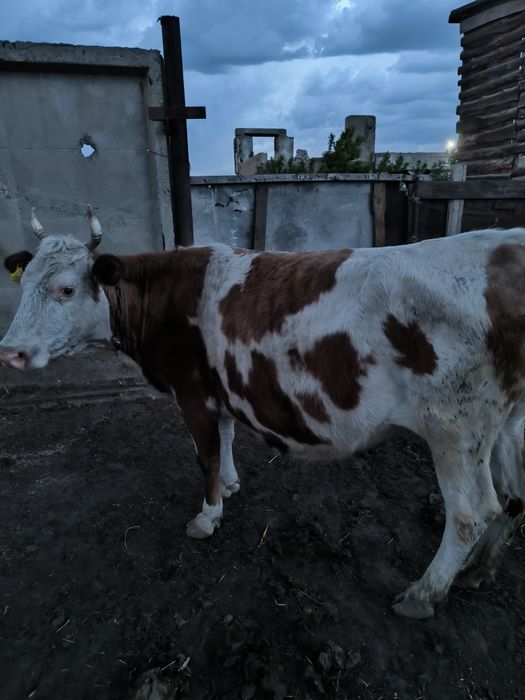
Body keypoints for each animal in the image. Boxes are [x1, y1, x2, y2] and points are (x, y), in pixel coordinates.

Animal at [2, 208, 525, 619]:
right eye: (24, 284)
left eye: (66, 289)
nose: (11, 352)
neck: (161, 299)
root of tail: (505, 245)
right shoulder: (218, 389)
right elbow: (228, 437)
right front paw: (232, 484)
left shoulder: (191, 393)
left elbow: (207, 455)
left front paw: (207, 516)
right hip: (504, 425)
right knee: (514, 500)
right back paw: (477, 572)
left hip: (455, 429)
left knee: (471, 514)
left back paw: (423, 594)